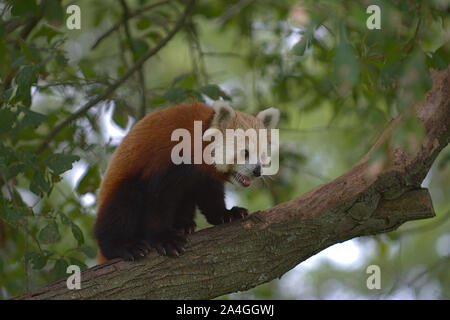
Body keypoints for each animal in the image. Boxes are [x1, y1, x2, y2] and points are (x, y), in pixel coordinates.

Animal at [93, 100, 280, 262]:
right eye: (245, 152)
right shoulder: (166, 160)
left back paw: (183, 225)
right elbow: (157, 201)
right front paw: (165, 238)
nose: (257, 171)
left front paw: (226, 214)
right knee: (123, 204)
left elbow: (209, 195)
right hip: (120, 189)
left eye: (262, 154)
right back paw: (123, 245)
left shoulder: (203, 176)